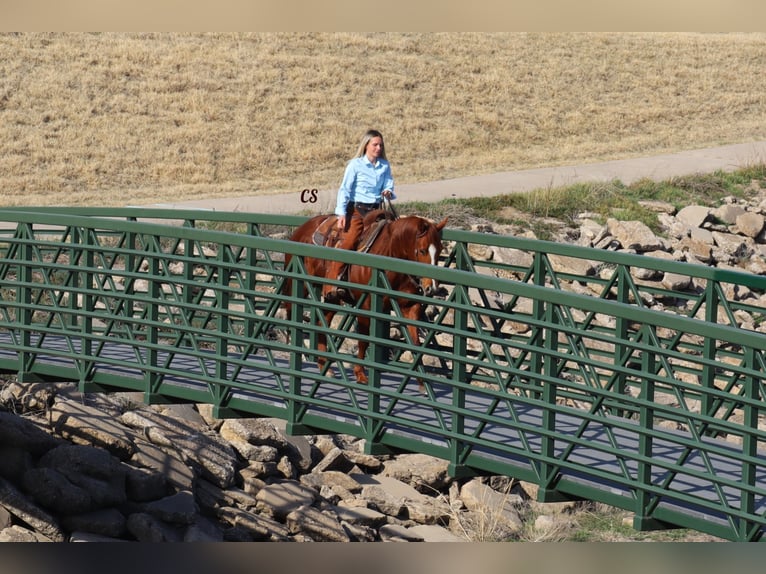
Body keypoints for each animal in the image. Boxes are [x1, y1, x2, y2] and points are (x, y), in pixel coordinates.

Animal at [282, 209, 450, 390]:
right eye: (423, 250)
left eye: (440, 250)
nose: (432, 288)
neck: (389, 253)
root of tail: (300, 230)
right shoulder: (366, 305)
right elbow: (364, 340)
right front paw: (360, 374)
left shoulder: (409, 307)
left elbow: (415, 343)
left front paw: (422, 384)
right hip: (301, 284)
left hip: (332, 296)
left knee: (321, 322)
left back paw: (324, 367)